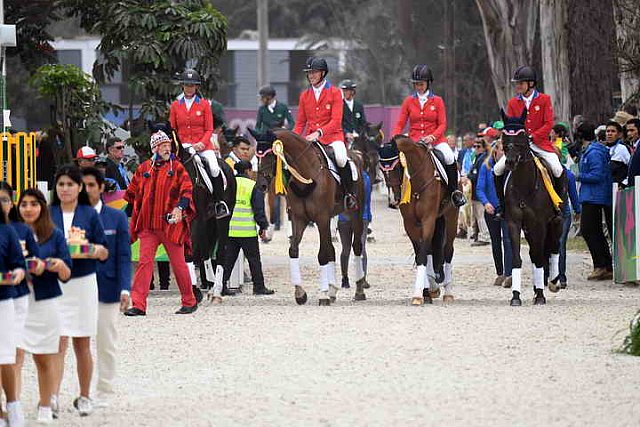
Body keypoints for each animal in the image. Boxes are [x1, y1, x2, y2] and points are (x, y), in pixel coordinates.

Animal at [252, 129, 368, 306]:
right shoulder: (299, 218)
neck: (307, 174)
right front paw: (300, 293)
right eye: (257, 155)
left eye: (271, 154)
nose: (261, 185)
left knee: (356, 247)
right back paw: (332, 290)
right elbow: (293, 250)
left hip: (355, 213)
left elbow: (322, 255)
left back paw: (359, 289)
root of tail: (355, 155)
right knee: (331, 249)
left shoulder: (321, 218)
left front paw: (323, 295)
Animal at [396, 135, 460, 306]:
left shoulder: (428, 219)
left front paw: (419, 295)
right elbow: (421, 253)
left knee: (448, 250)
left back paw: (448, 293)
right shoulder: (410, 223)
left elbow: (423, 253)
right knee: (432, 250)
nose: (396, 198)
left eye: (397, 165)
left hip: (451, 217)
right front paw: (425, 292)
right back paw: (433, 288)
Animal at [500, 110, 560, 304]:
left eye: (522, 135)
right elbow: (517, 259)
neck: (524, 186)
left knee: (553, 247)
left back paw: (553, 283)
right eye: (504, 135)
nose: (510, 161)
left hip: (555, 222)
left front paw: (540, 295)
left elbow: (540, 258)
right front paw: (515, 296)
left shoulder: (539, 224)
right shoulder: (514, 223)